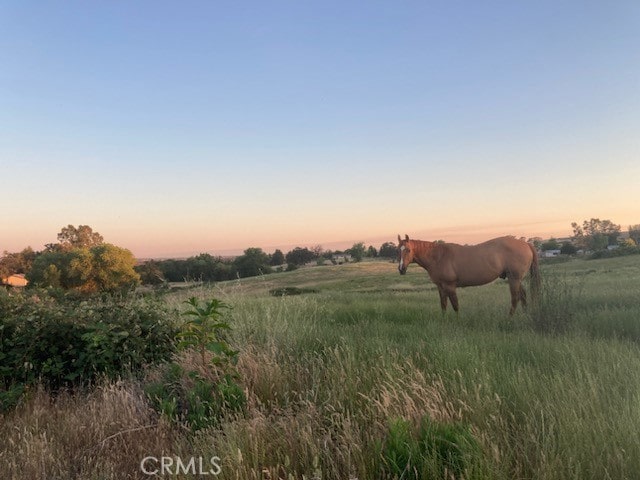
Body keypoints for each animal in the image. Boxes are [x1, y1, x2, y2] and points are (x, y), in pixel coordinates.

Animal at [400, 232, 540, 316]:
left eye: (408, 250)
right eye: (398, 250)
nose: (401, 269)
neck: (439, 256)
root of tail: (526, 243)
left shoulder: (450, 286)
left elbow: (455, 305)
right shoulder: (441, 286)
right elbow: (443, 304)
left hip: (514, 279)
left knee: (515, 298)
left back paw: (509, 318)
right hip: (515, 279)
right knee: (523, 295)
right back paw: (525, 314)